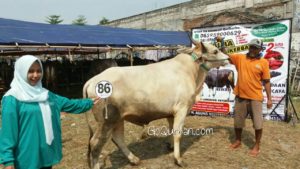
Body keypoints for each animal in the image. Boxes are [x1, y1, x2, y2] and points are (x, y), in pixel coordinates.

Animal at [83, 40, 229, 168]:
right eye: (215, 51)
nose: (228, 58)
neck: (191, 72)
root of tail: (92, 80)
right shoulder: (182, 108)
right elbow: (177, 134)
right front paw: (178, 159)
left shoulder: (171, 113)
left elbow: (171, 130)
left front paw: (170, 146)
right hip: (106, 121)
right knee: (95, 144)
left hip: (118, 119)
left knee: (117, 138)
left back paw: (134, 159)